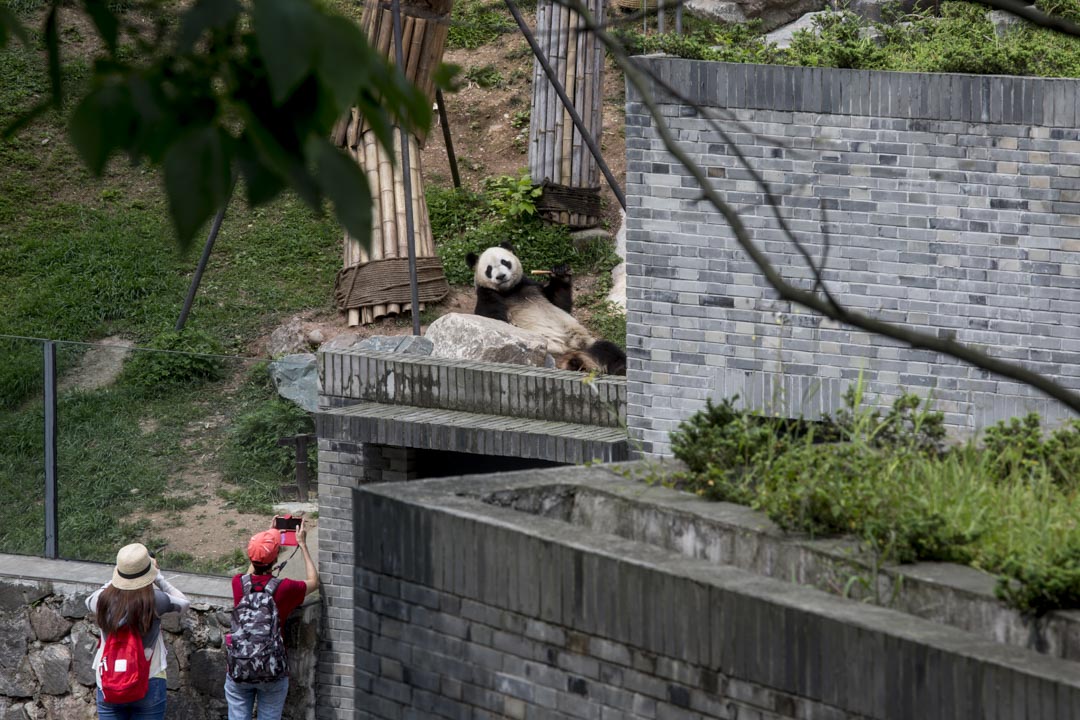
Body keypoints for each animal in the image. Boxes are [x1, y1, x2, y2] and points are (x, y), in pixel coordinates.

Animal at [464, 243, 626, 377]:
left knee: (607, 349)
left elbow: (560, 303)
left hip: (585, 345)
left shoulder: (532, 287)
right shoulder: (487, 296)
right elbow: (493, 318)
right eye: (489, 269)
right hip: (541, 355)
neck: (509, 291)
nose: (501, 276)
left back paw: (619, 369)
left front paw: (560, 272)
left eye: (505, 262)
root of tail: (567, 357)